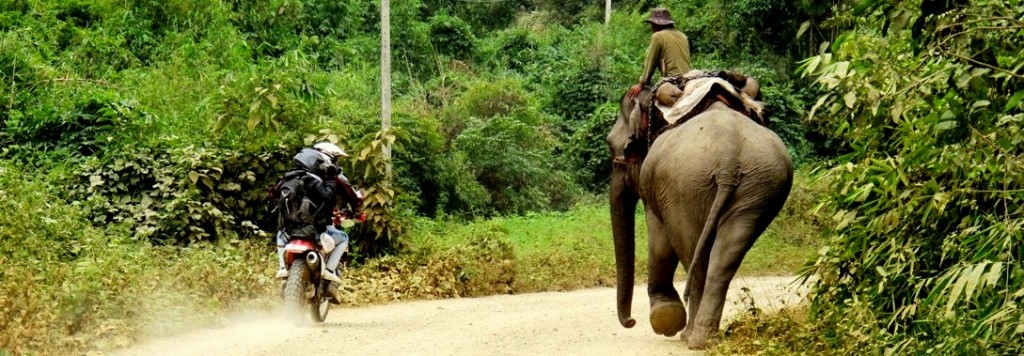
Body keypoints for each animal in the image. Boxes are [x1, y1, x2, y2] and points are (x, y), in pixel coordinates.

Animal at [602, 81, 794, 349]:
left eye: (612, 146)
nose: (630, 322)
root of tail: (728, 160)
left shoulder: (658, 187)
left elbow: (659, 241)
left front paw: (665, 319)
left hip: (685, 187)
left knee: (691, 249)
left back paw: (690, 336)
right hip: (758, 186)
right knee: (725, 255)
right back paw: (703, 338)